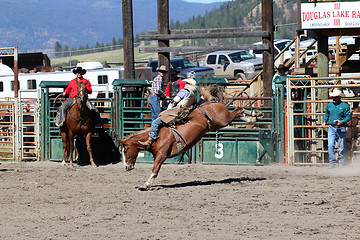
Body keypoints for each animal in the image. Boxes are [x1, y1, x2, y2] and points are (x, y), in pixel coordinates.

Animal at [119, 102, 258, 190]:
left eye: (125, 151)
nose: (125, 167)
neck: (155, 138)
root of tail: (210, 103)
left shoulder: (161, 155)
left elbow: (155, 170)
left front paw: (146, 185)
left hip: (223, 120)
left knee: (237, 110)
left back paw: (252, 116)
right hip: (218, 124)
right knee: (237, 112)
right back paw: (252, 116)